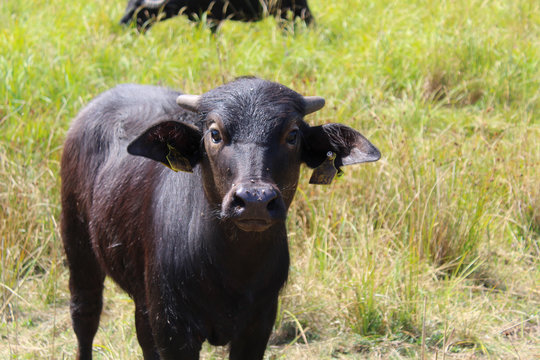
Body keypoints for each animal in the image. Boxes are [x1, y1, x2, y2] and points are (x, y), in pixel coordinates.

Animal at [60, 77, 380, 358]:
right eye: (215, 134)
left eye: (292, 135)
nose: (254, 201)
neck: (230, 271)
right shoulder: (174, 331)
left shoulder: (258, 325)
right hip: (77, 244)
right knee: (85, 315)